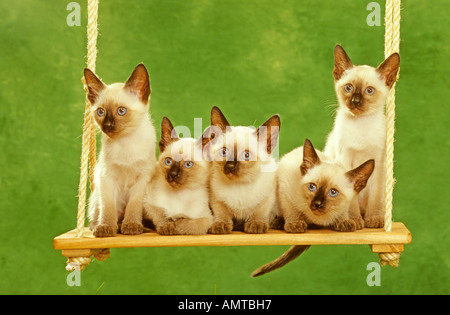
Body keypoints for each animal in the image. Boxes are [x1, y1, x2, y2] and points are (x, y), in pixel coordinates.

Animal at [85, 63, 157, 237]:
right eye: (101, 112)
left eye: (121, 111)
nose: (107, 126)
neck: (125, 143)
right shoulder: (106, 177)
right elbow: (108, 209)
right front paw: (105, 228)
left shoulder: (143, 179)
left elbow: (133, 206)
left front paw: (131, 225)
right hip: (96, 198)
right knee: (96, 217)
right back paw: (107, 226)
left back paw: (141, 227)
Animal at [208, 106, 280, 235]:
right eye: (224, 152)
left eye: (246, 155)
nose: (230, 165)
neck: (239, 185)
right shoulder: (216, 199)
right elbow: (221, 212)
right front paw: (220, 225)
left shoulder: (267, 197)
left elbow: (260, 211)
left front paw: (256, 225)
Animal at [251, 139, 374, 278]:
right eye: (312, 187)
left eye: (333, 192)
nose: (317, 204)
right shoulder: (284, 185)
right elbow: (290, 209)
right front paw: (295, 224)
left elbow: (343, 212)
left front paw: (343, 221)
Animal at [324, 44, 400, 228]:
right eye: (349, 88)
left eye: (369, 91)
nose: (355, 102)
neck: (360, 125)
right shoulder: (345, 161)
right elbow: (350, 201)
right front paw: (353, 220)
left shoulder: (378, 163)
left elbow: (375, 197)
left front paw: (374, 219)